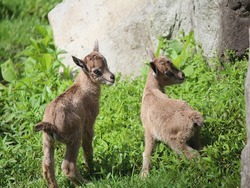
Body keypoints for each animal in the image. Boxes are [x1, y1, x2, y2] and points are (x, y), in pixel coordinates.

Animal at [34, 41, 115, 187]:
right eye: (96, 71)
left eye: (106, 62)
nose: (112, 77)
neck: (83, 88)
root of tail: (51, 125)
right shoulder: (88, 124)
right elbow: (88, 149)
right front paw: (92, 170)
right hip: (74, 137)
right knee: (68, 166)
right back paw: (87, 182)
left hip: (47, 142)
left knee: (47, 166)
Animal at [141, 49, 203, 177]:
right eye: (168, 73)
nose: (182, 75)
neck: (150, 90)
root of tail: (192, 117)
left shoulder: (148, 130)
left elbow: (147, 153)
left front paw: (144, 176)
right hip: (194, 134)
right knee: (199, 147)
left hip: (176, 141)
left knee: (194, 154)